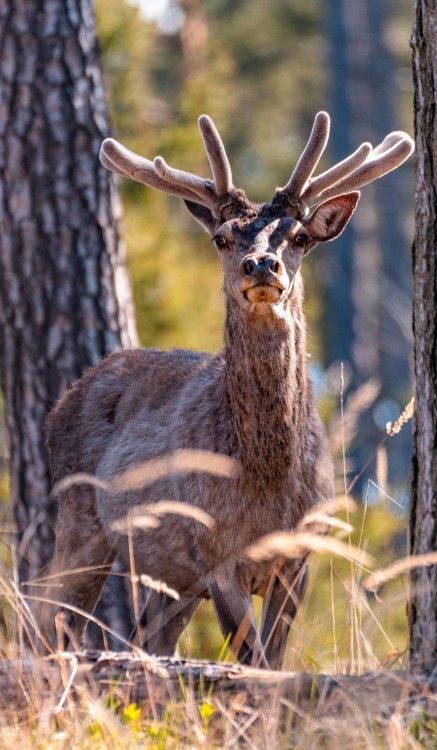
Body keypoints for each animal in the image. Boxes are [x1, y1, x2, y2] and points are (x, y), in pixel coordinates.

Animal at [44, 111, 412, 668]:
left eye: (298, 237)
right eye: (221, 237)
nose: (261, 265)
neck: (267, 480)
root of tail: (58, 406)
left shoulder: (300, 558)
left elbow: (274, 666)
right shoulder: (217, 555)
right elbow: (251, 662)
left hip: (173, 578)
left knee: (146, 639)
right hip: (81, 520)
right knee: (51, 615)